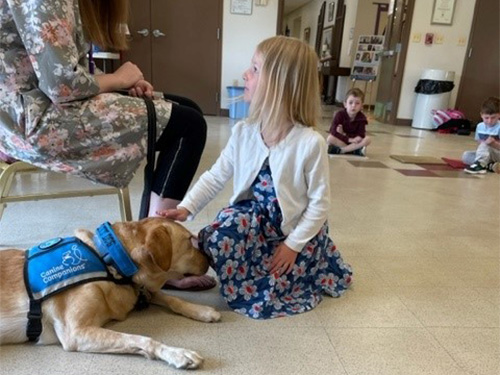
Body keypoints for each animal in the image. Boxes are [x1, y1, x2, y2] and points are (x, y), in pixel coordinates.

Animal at [0, 219, 221, 368]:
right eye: (189, 241)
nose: (209, 257)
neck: (109, 262)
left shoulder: (139, 289)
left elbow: (172, 298)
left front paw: (202, 311)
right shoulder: (75, 333)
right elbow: (142, 339)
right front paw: (178, 353)